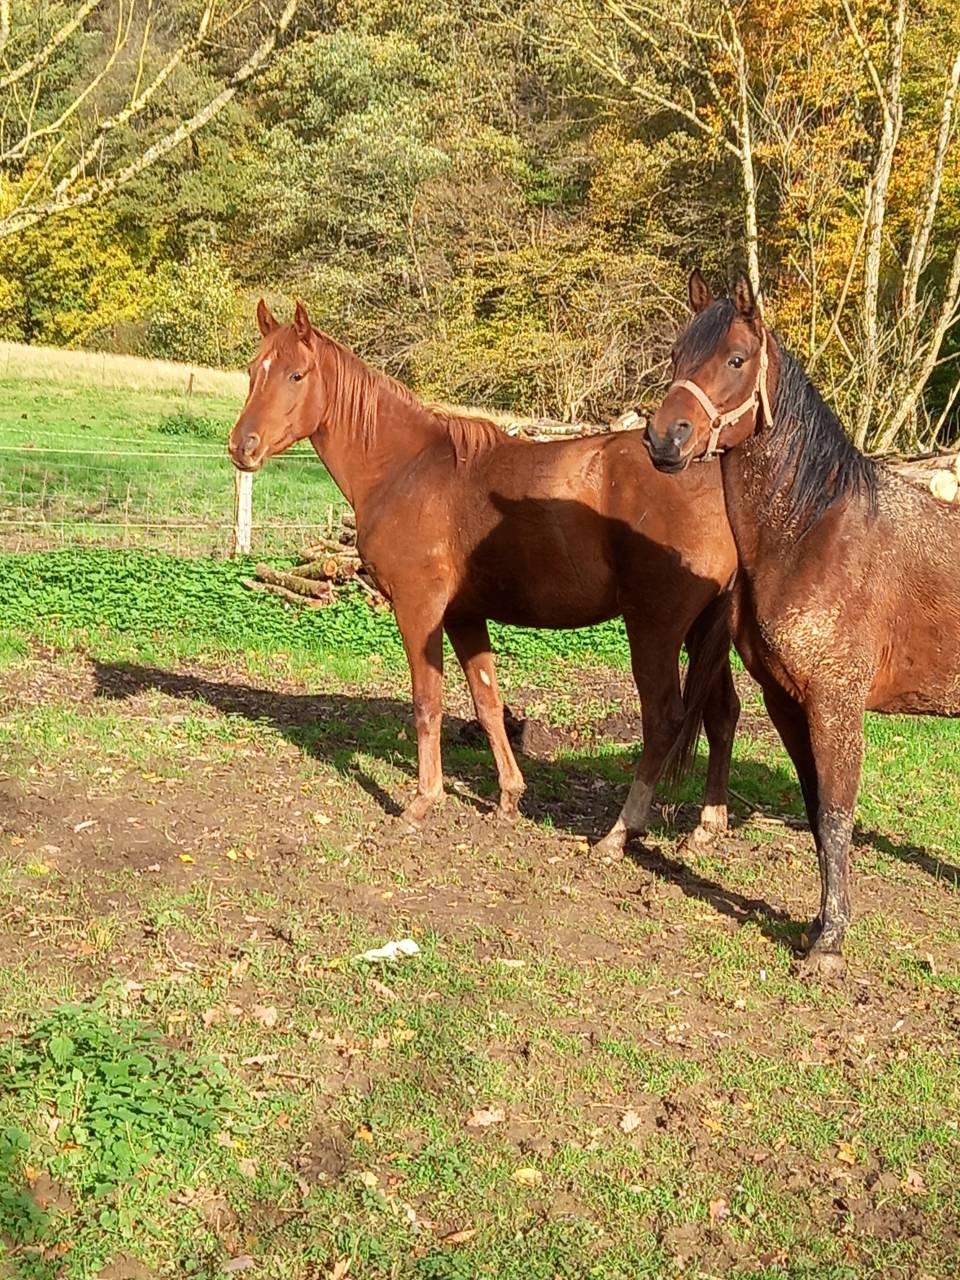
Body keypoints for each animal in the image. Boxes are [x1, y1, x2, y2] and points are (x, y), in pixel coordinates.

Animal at [228, 300, 740, 848]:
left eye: (296, 374)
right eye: (254, 370)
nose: (242, 446)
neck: (407, 470)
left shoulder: (419, 609)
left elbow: (427, 702)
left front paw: (422, 802)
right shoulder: (464, 615)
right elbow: (488, 703)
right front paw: (509, 798)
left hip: (655, 629)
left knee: (664, 720)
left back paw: (619, 835)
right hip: (702, 631)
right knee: (723, 712)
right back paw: (707, 827)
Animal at [645, 269, 960, 974]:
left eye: (736, 360)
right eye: (677, 356)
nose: (664, 439)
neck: (813, 533)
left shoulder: (836, 702)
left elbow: (838, 813)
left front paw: (830, 945)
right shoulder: (787, 699)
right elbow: (818, 811)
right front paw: (819, 923)